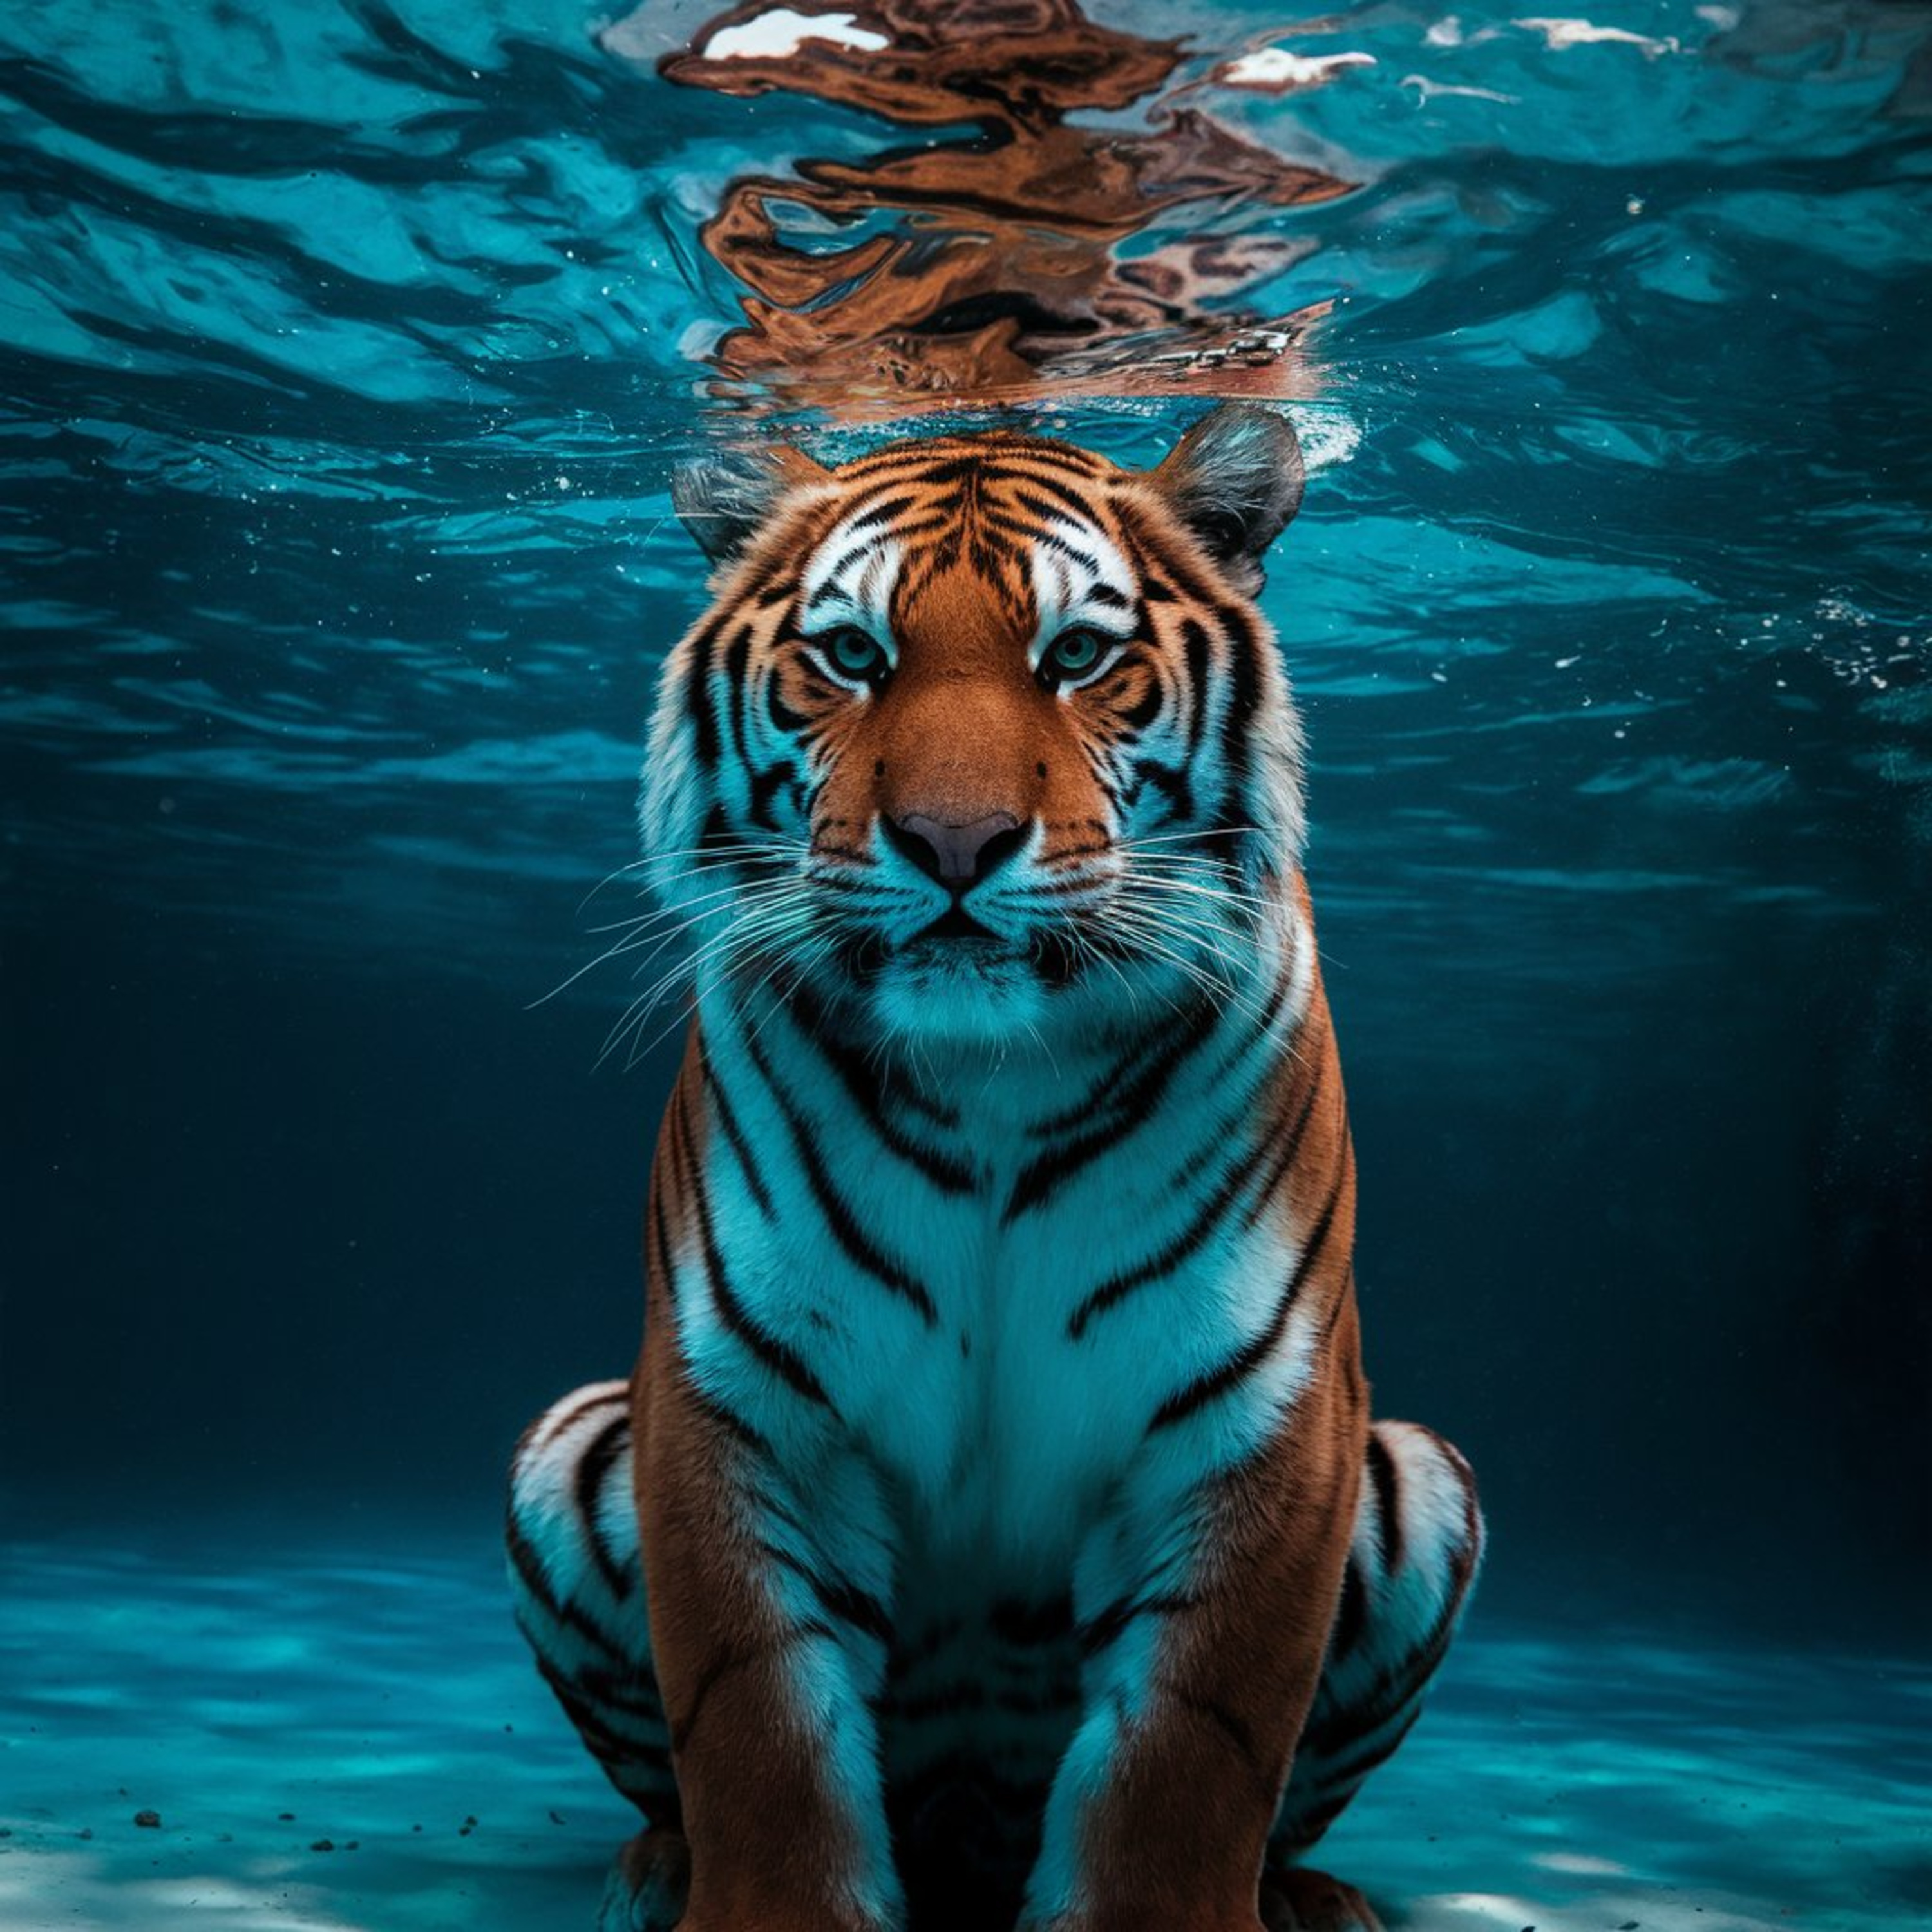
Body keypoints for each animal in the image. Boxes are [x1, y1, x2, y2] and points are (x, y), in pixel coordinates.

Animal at [507, 403, 1484, 1932]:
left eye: (1076, 655)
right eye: (854, 656)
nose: (954, 844)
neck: (992, 1088)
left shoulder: (1262, 1420)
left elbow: (1190, 1758)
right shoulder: (740, 1405)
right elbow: (755, 1728)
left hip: (1422, 1484)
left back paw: (1317, 1899)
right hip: (566, 1451)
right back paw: (653, 1871)